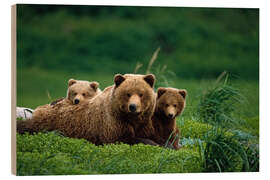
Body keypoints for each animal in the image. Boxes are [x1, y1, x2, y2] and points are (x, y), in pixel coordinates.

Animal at [16, 73, 160, 146]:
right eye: (128, 93)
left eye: (141, 94)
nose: (133, 107)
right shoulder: (113, 124)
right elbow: (122, 139)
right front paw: (150, 143)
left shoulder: (146, 123)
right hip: (48, 122)